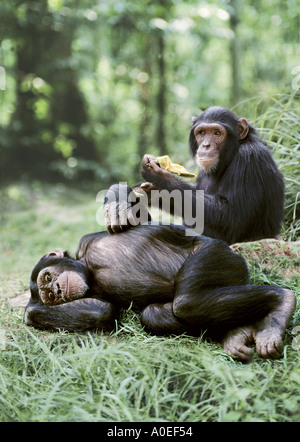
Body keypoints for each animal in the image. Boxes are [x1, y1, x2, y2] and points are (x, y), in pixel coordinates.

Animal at [25, 223, 296, 360]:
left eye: (47, 277)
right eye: (49, 296)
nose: (56, 290)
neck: (87, 265)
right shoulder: (95, 296)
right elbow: (101, 311)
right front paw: (32, 309)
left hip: (219, 256)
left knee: (188, 302)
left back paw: (281, 302)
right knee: (155, 314)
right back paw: (235, 335)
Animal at [104, 107, 284, 245]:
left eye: (217, 133)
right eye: (202, 133)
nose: (206, 145)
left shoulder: (249, 158)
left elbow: (232, 215)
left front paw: (159, 174)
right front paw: (122, 194)